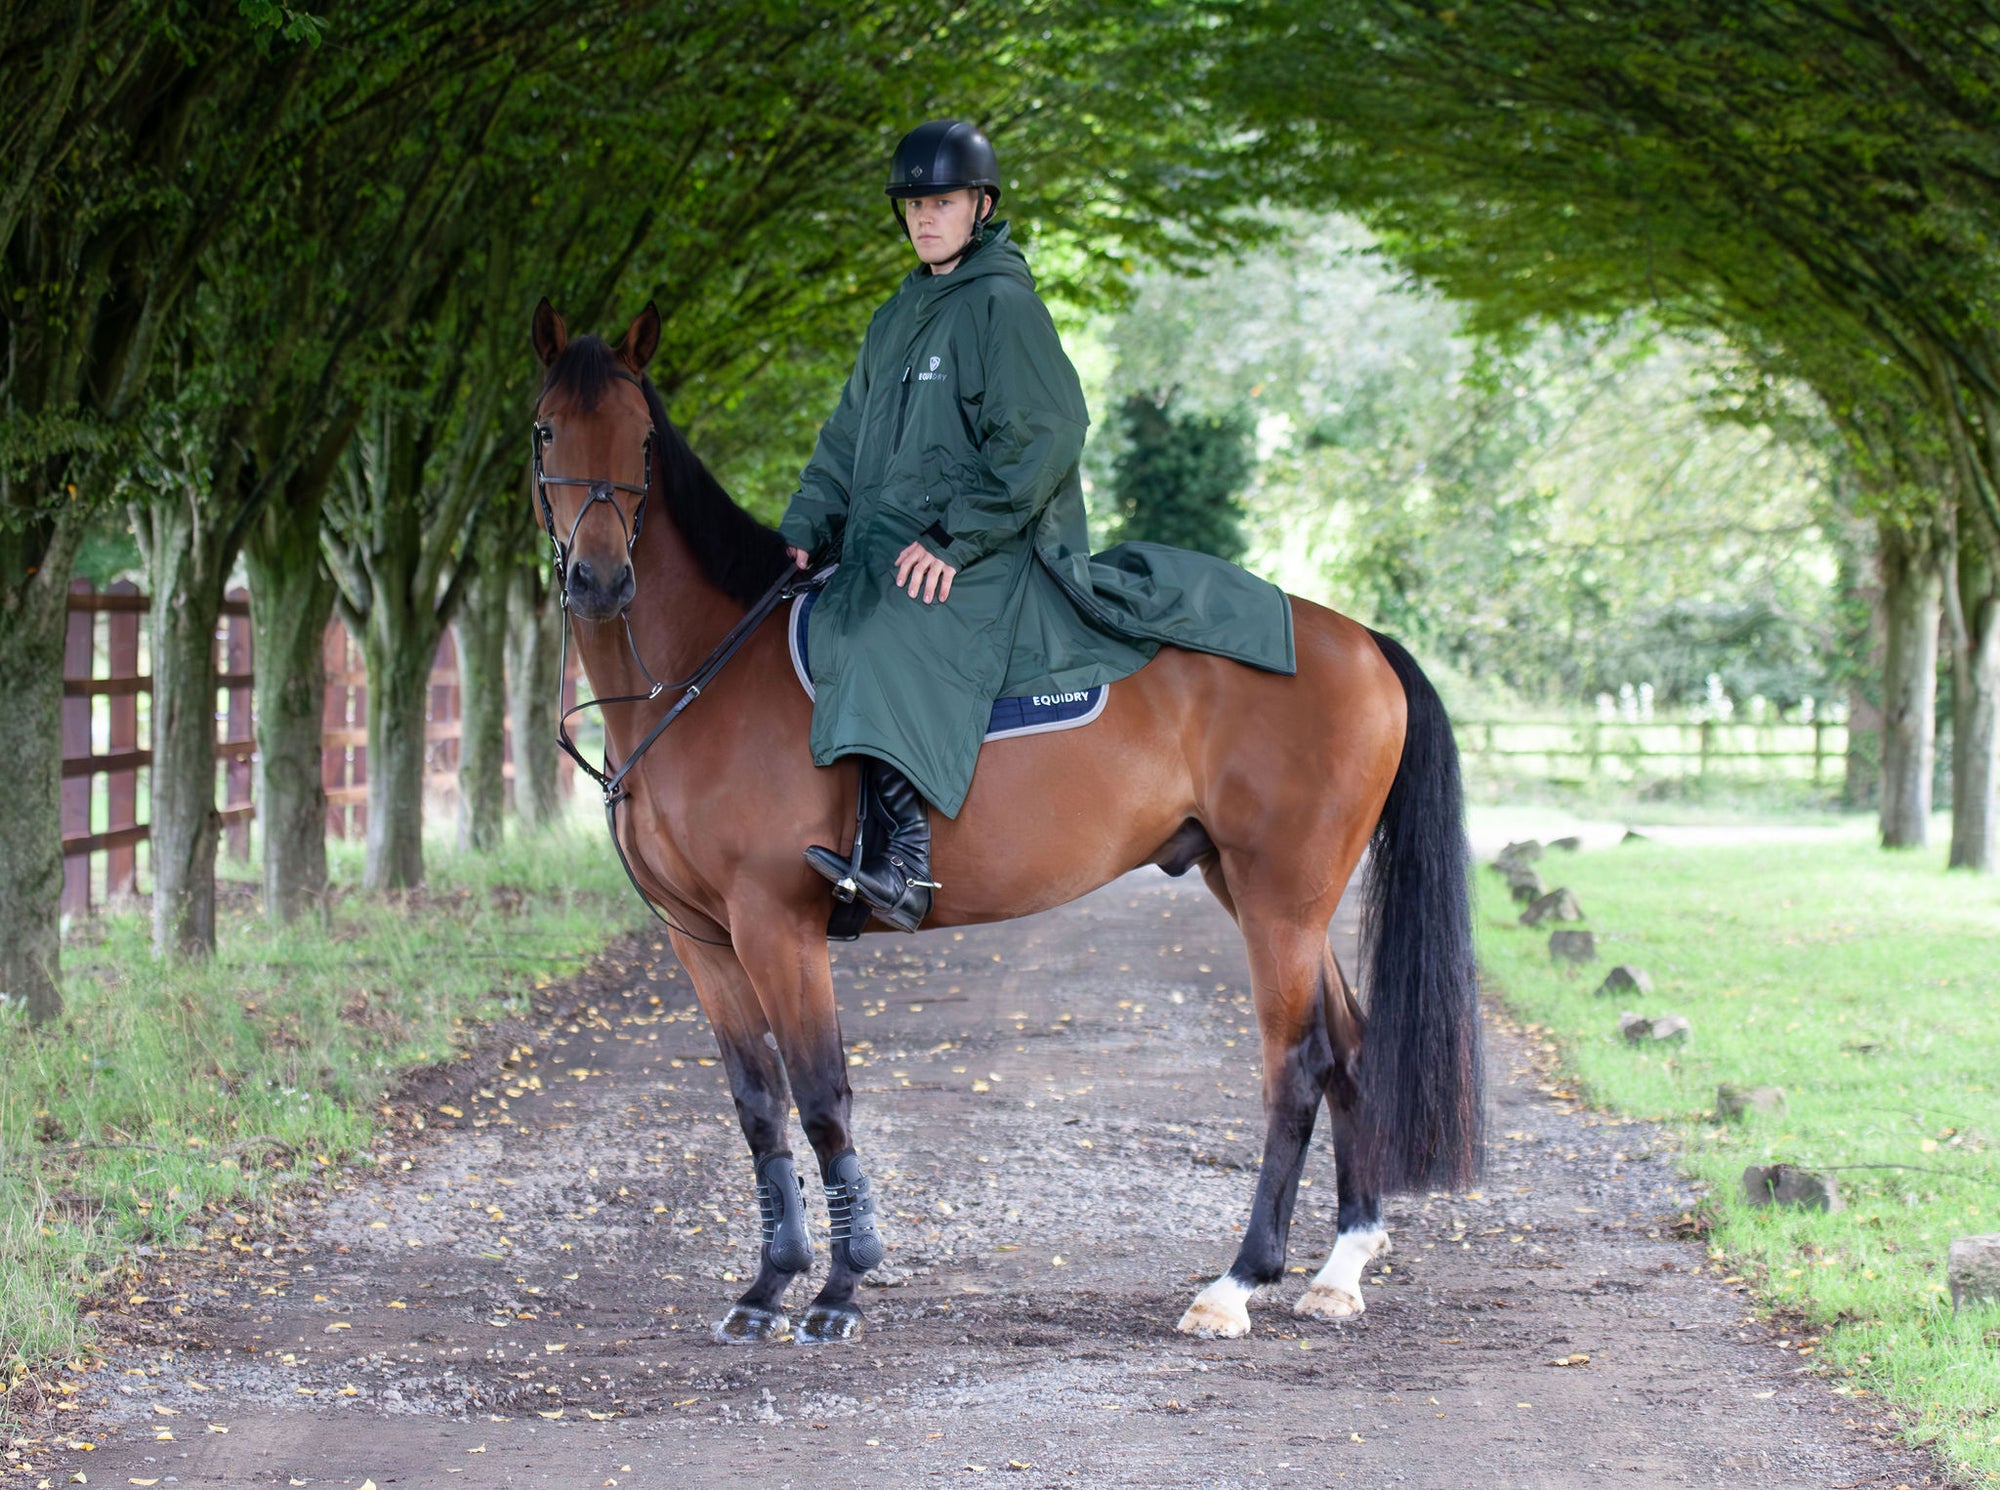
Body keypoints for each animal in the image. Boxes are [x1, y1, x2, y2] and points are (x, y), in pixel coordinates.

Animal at [524, 296, 1480, 1344]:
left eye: (644, 440)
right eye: (545, 432)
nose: (599, 581)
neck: (706, 674)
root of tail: (1360, 640)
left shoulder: (776, 925)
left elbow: (821, 1099)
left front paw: (839, 1289)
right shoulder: (700, 937)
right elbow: (758, 1106)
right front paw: (769, 1283)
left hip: (1282, 900)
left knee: (1298, 1063)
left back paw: (1237, 1282)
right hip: (1261, 891)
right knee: (1349, 1046)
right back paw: (1342, 1264)